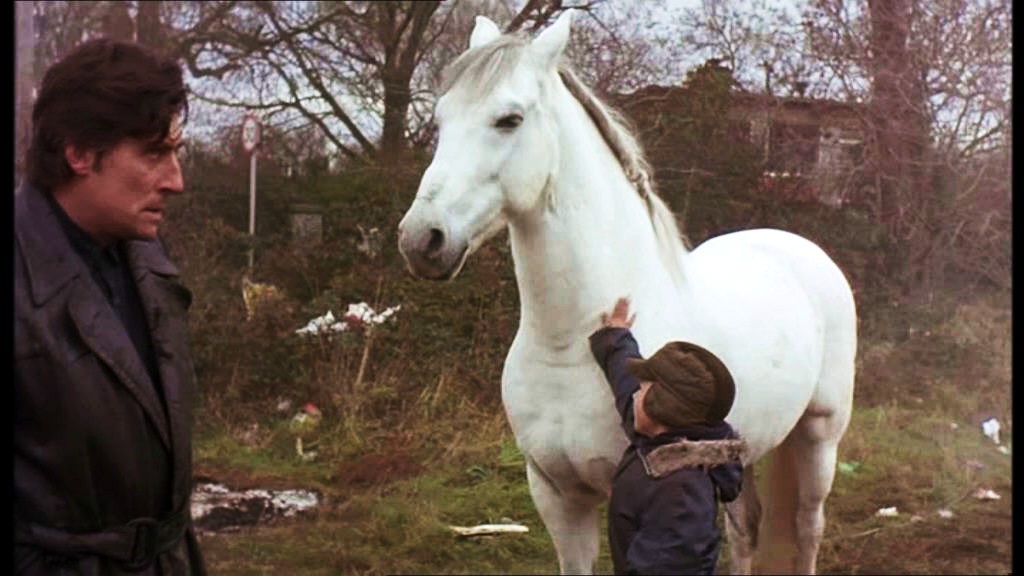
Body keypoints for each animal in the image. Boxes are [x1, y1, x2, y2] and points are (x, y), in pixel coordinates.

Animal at [399, 11, 856, 569]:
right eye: (441, 119)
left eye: (509, 119)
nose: (421, 239)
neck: (567, 343)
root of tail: (797, 247)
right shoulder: (557, 495)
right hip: (746, 445)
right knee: (746, 530)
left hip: (819, 436)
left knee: (808, 528)